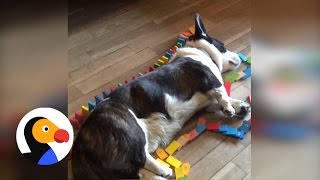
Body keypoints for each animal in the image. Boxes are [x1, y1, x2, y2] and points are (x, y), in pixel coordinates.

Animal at [72, 13, 250, 179]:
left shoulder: (207, 100)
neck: (201, 53)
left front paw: (241, 107)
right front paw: (229, 108)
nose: (238, 57)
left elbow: (223, 99)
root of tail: (80, 139)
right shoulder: (209, 80)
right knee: (141, 159)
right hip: (129, 130)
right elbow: (222, 93)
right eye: (223, 46)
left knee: (135, 172)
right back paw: (164, 170)